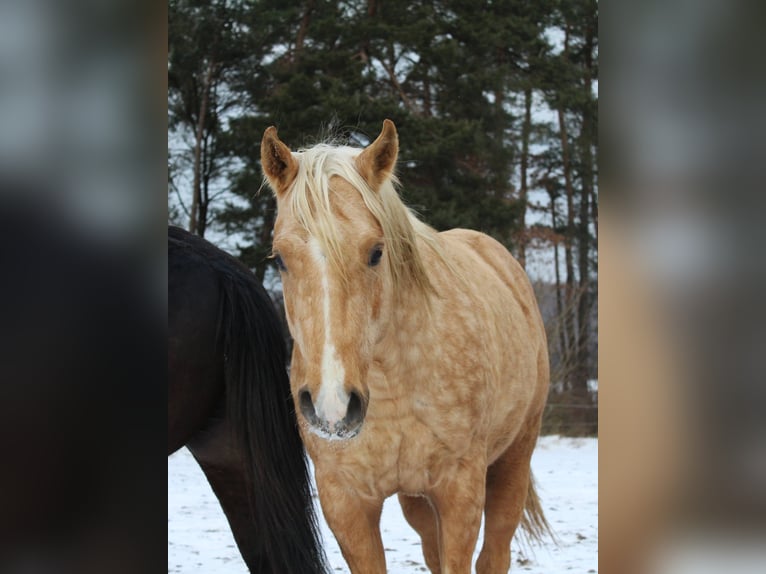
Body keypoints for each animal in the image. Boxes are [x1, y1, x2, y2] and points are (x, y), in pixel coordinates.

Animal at [260, 120, 551, 573]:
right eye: (279, 259)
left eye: (376, 252)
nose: (332, 407)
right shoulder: (346, 501)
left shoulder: (460, 492)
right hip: (416, 497)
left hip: (514, 458)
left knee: (495, 553)